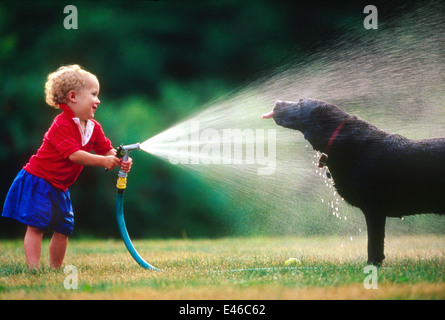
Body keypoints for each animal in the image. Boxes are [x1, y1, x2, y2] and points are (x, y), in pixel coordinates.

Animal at [262, 98, 442, 264]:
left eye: (300, 103)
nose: (277, 102)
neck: (345, 140)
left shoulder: (374, 209)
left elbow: (374, 244)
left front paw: (372, 265)